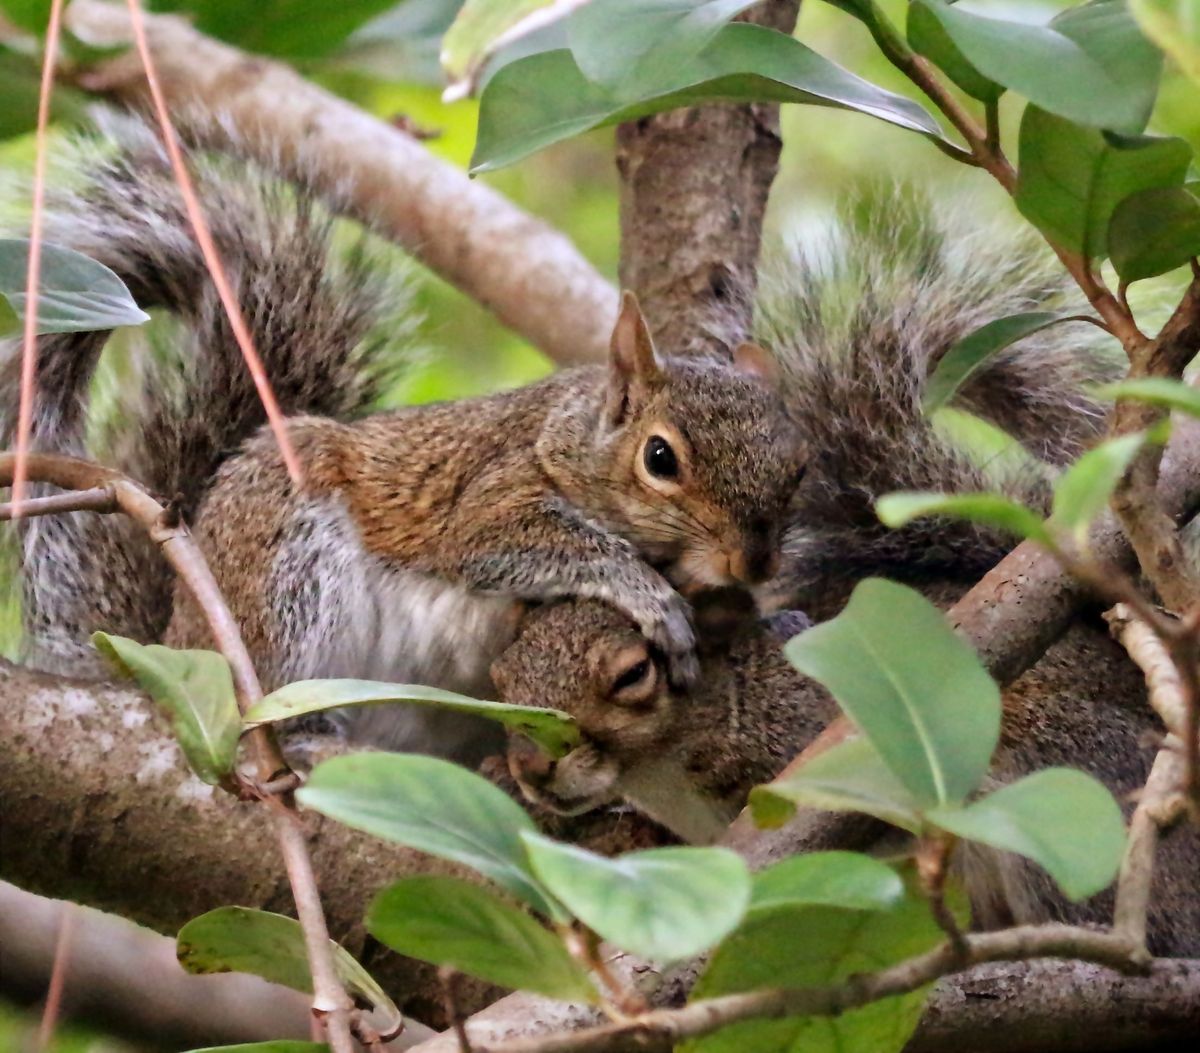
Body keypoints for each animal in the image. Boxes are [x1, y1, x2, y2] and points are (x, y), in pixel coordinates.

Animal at [2, 113, 805, 759]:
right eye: (660, 457)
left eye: (800, 468)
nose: (755, 561)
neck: (569, 438)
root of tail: (169, 646)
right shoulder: (493, 498)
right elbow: (522, 545)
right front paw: (651, 596)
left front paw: (774, 615)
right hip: (283, 577)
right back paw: (301, 727)